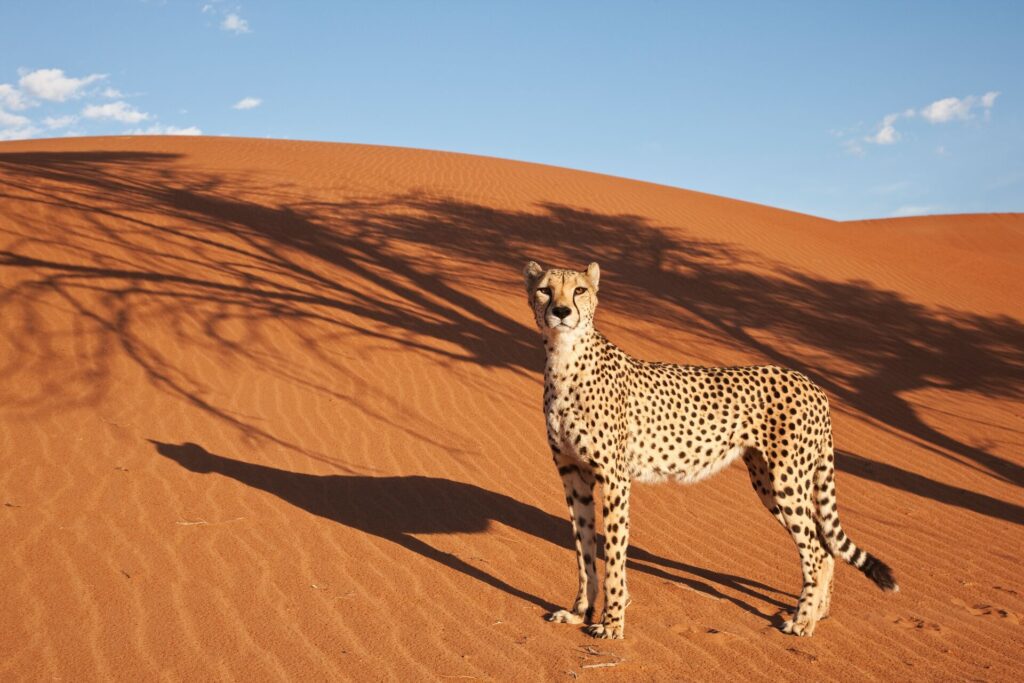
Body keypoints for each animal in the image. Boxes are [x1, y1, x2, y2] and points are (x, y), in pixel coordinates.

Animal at [523, 260, 898, 639]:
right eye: (545, 290)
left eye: (579, 290)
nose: (561, 311)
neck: (564, 358)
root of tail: (813, 384)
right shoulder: (574, 476)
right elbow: (584, 551)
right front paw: (580, 612)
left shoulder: (615, 479)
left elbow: (614, 555)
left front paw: (613, 622)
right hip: (769, 483)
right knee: (824, 544)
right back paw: (819, 613)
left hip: (787, 481)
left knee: (817, 551)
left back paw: (803, 620)